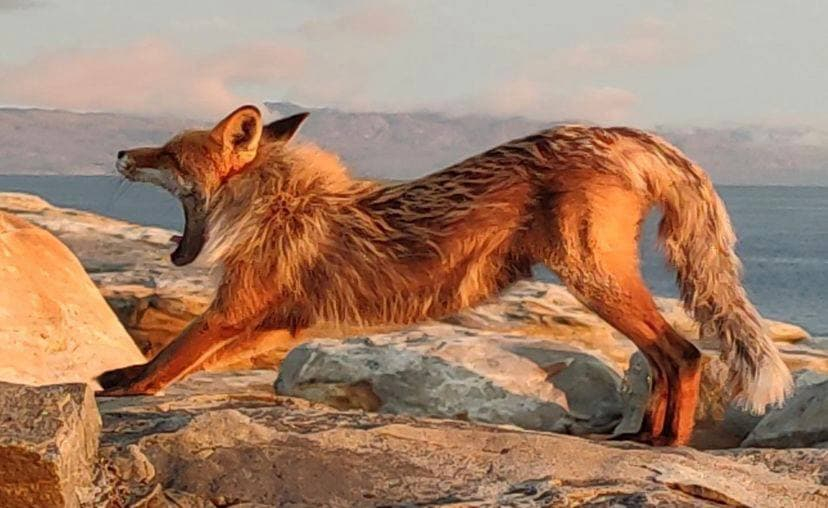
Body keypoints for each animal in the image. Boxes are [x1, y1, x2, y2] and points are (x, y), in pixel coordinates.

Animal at [98, 105, 792, 446]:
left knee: (683, 353)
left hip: (592, 277)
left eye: (169, 154)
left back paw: (668, 444)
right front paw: (126, 377)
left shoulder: (237, 306)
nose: (121, 152)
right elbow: (184, 359)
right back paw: (647, 434)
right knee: (668, 357)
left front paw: (128, 389)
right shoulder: (280, 323)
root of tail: (616, 133)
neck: (275, 203)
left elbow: (174, 351)